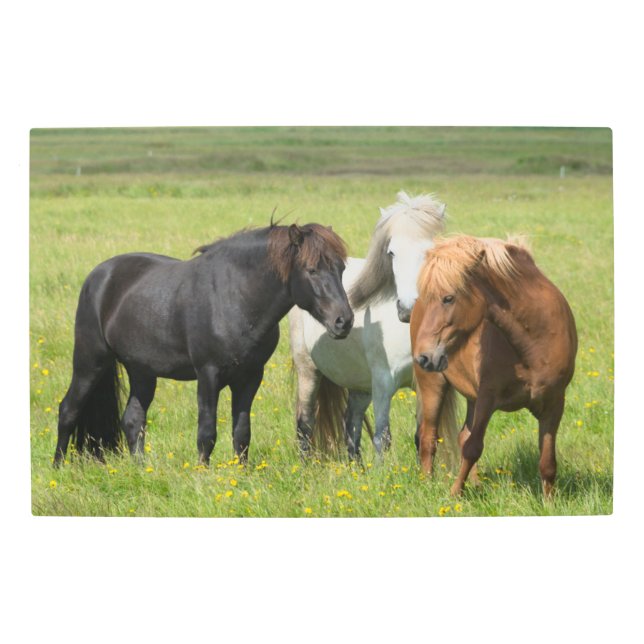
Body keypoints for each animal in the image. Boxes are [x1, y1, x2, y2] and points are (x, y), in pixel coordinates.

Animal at [54, 222, 354, 467]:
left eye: (341, 268)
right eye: (312, 270)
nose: (344, 321)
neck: (235, 298)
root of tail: (98, 276)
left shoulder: (250, 377)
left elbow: (242, 431)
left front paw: (241, 474)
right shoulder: (208, 374)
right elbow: (207, 431)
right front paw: (203, 473)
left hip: (142, 371)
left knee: (132, 420)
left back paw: (141, 469)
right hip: (90, 362)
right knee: (68, 410)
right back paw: (58, 467)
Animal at [289, 191, 460, 465]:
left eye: (429, 251)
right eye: (391, 253)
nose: (408, 309)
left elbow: (423, 436)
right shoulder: (383, 383)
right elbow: (382, 437)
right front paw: (382, 473)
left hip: (360, 385)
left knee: (351, 422)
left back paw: (356, 468)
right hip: (309, 371)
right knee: (304, 424)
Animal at [411, 235, 577, 497]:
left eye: (448, 298)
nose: (423, 356)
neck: (533, 343)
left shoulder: (554, 403)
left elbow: (548, 462)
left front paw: (549, 501)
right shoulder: (487, 398)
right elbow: (472, 447)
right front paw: (454, 495)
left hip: (471, 396)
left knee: (460, 436)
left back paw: (476, 485)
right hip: (433, 385)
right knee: (428, 437)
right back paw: (427, 484)